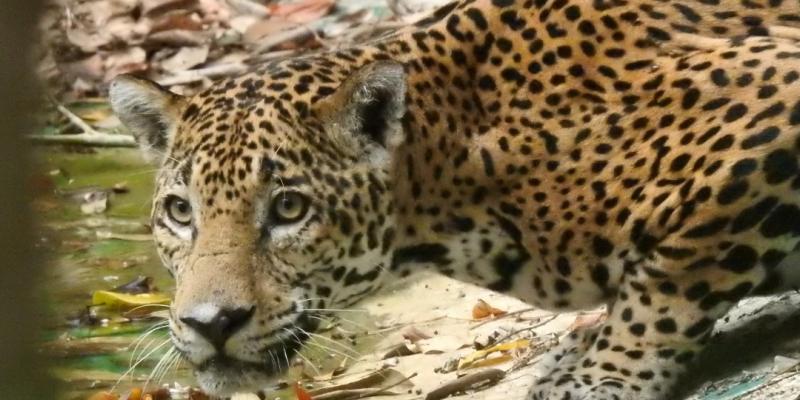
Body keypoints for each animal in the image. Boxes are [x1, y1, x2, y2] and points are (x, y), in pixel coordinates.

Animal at [109, 0, 800, 398]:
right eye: (180, 212)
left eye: (288, 209)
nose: (211, 324)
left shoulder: (769, 92)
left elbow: (669, 279)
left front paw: (604, 373)